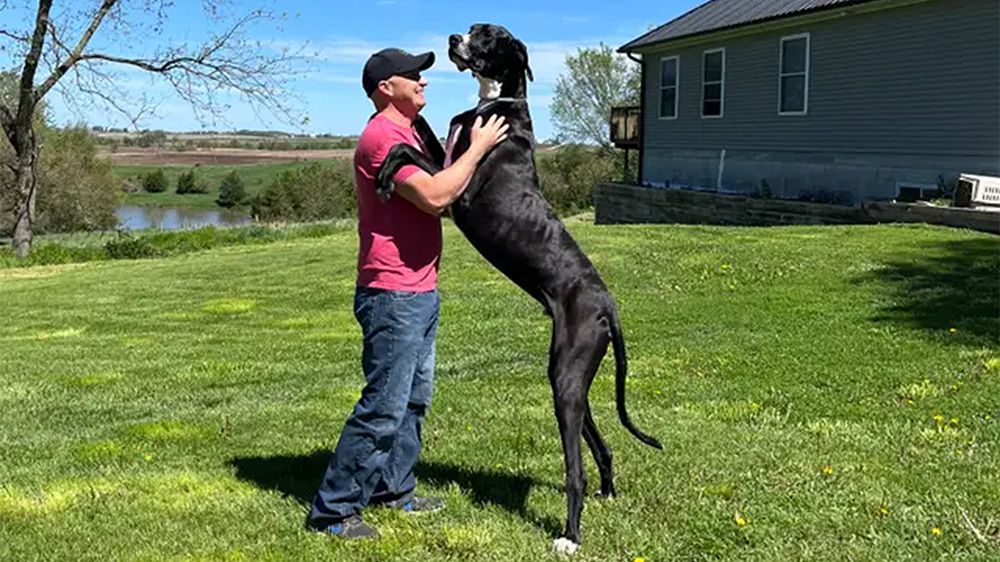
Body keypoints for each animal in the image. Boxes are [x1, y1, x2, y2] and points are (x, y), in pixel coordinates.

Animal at [374, 23, 656, 552]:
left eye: (487, 36)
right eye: (473, 28)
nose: (453, 37)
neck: (496, 102)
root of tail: (608, 305)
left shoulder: (457, 193)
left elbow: (406, 150)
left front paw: (384, 175)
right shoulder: (448, 159)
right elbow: (421, 137)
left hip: (567, 376)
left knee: (574, 469)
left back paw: (570, 537)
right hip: (572, 377)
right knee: (600, 442)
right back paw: (608, 492)